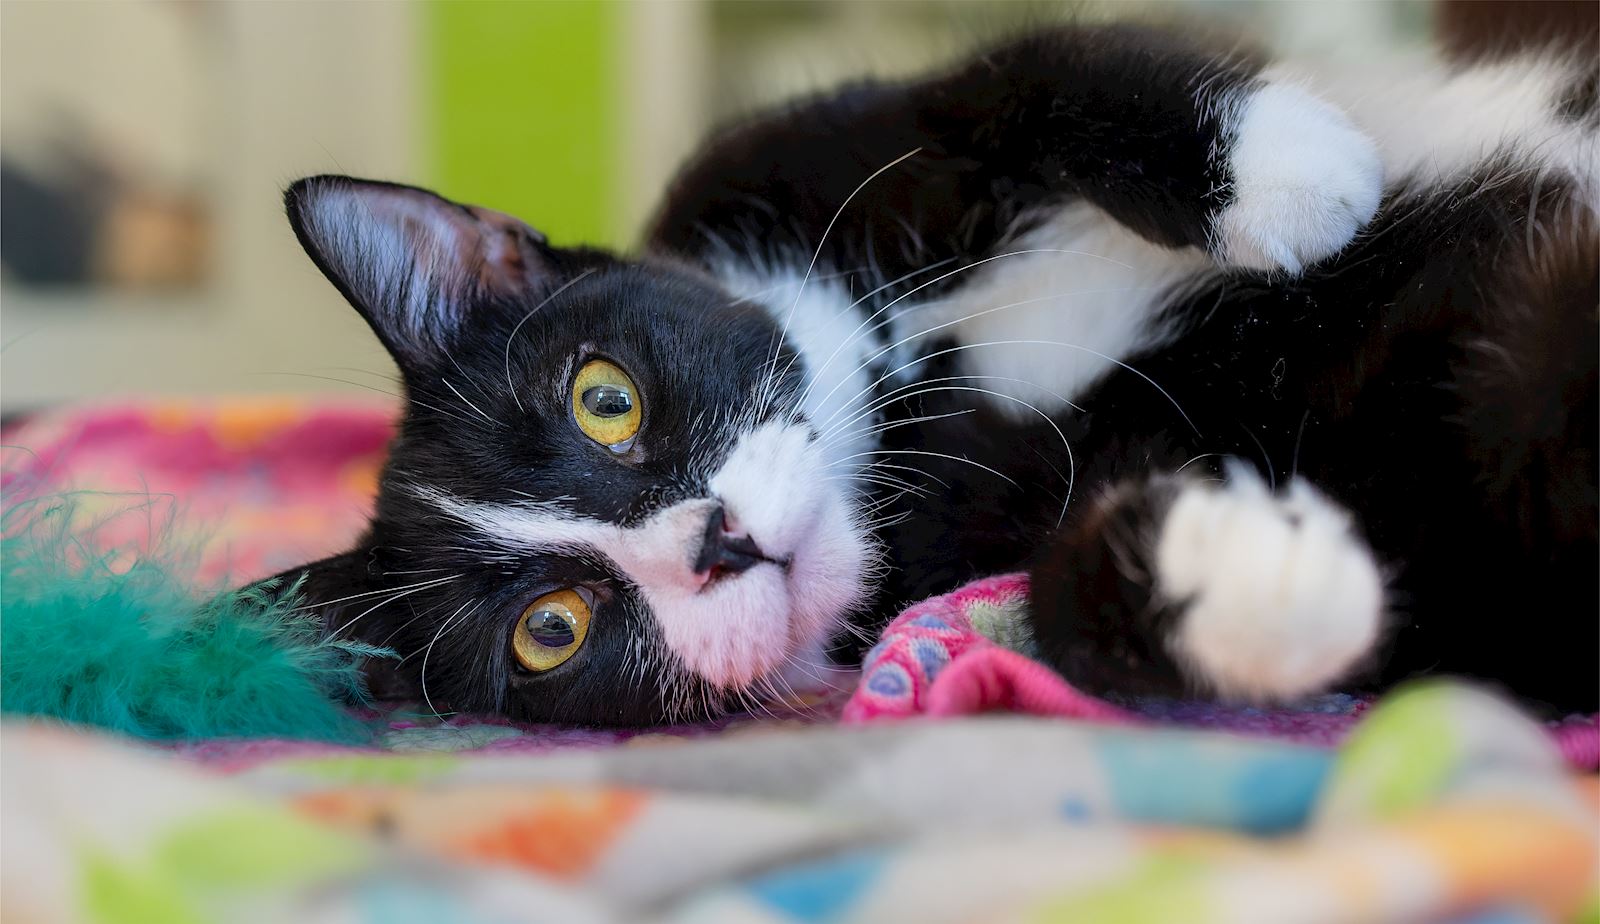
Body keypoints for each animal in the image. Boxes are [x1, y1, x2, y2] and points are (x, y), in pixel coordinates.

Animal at [268, 21, 1593, 722]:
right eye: (551, 630)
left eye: (605, 400)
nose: (716, 542)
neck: (894, 394)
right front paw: (1251, 574)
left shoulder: (785, 149)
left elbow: (1019, 72)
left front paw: (1287, 177)